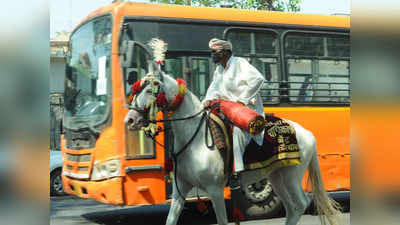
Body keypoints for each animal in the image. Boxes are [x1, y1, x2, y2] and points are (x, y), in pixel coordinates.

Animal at [124, 69, 340, 224]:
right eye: (136, 90)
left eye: (150, 90)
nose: (130, 120)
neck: (194, 141)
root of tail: (306, 133)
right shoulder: (180, 190)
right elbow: (170, 220)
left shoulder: (215, 190)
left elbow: (221, 220)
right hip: (276, 176)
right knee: (292, 207)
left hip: (291, 175)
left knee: (300, 203)